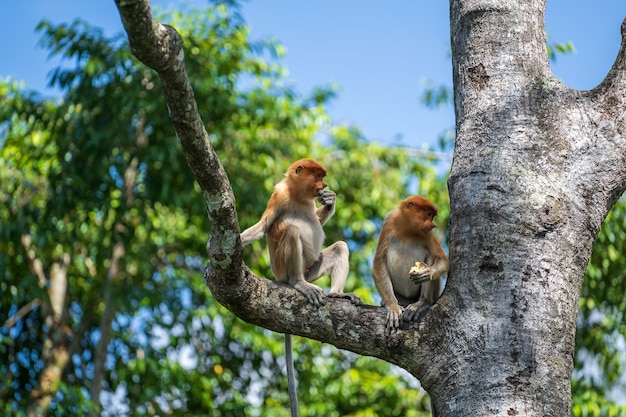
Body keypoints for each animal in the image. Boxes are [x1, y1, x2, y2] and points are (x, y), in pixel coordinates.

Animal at [241, 157, 364, 416]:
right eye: (317, 176)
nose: (324, 185)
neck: (297, 194)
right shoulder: (279, 195)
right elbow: (264, 225)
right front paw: (238, 239)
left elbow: (316, 219)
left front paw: (330, 201)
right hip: (285, 268)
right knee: (292, 230)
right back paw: (300, 284)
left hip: (314, 266)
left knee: (340, 247)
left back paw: (338, 295)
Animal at [370, 195, 448, 332]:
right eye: (428, 214)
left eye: (432, 216)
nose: (433, 224)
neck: (407, 229)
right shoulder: (389, 222)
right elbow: (379, 262)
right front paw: (392, 307)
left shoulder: (428, 234)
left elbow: (443, 260)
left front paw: (426, 273)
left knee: (432, 256)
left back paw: (422, 303)